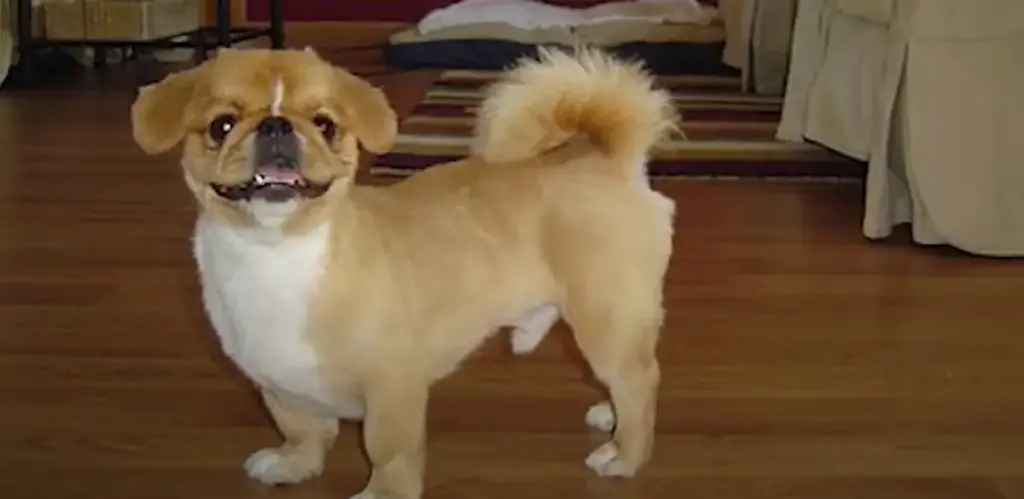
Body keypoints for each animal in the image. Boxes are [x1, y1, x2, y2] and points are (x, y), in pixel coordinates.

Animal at [130, 44, 679, 497]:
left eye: (325, 124)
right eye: (221, 125)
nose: (276, 125)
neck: (276, 253)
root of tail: (607, 156)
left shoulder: (393, 389)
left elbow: (389, 452)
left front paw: (383, 494)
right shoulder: (277, 381)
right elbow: (302, 430)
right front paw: (294, 465)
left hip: (604, 319)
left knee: (638, 381)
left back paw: (625, 455)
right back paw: (611, 417)